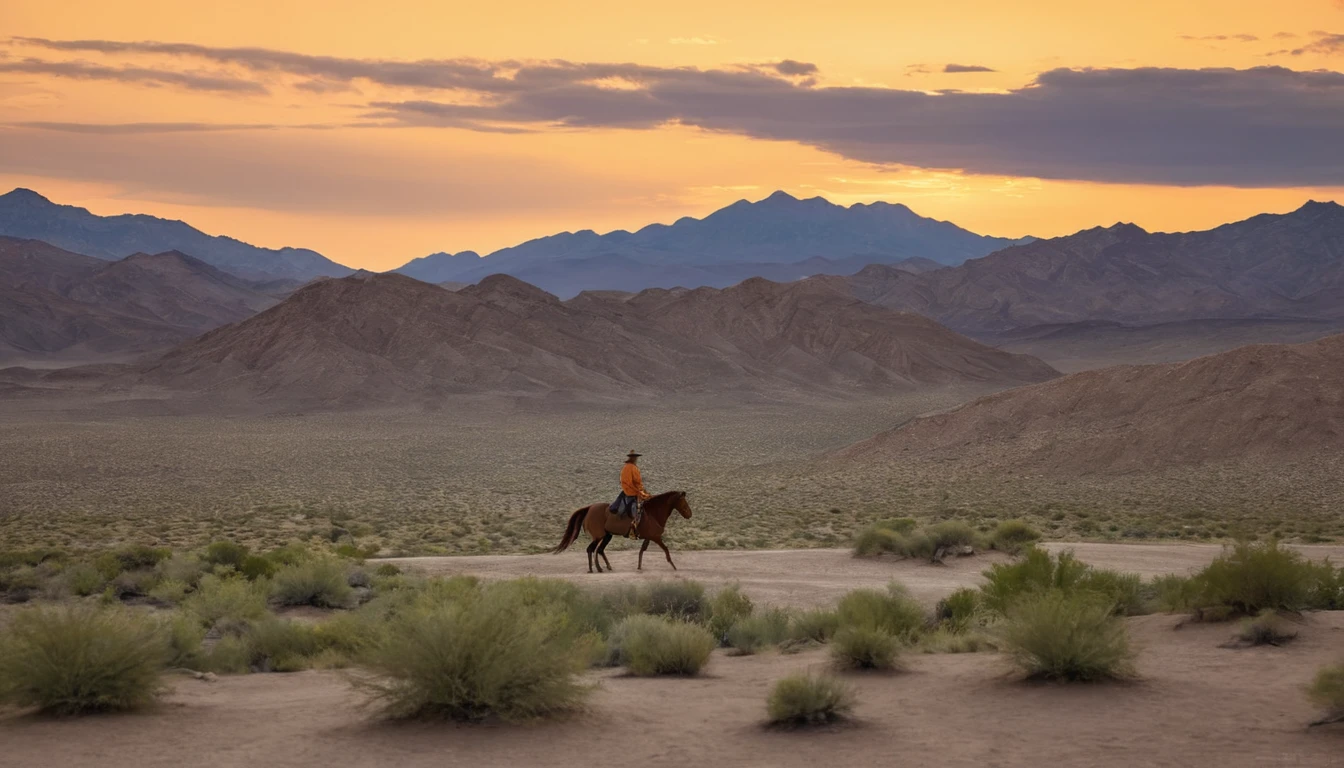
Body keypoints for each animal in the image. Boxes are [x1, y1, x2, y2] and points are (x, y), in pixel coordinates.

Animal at [551, 492, 693, 570]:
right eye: (683, 502)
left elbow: (642, 551)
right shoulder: (656, 537)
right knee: (591, 549)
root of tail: (589, 508)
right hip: (599, 536)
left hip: (607, 536)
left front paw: (639, 566)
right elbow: (666, 549)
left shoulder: (649, 537)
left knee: (599, 550)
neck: (653, 513)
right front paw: (673, 566)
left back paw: (606, 567)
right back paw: (595, 569)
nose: (689, 514)